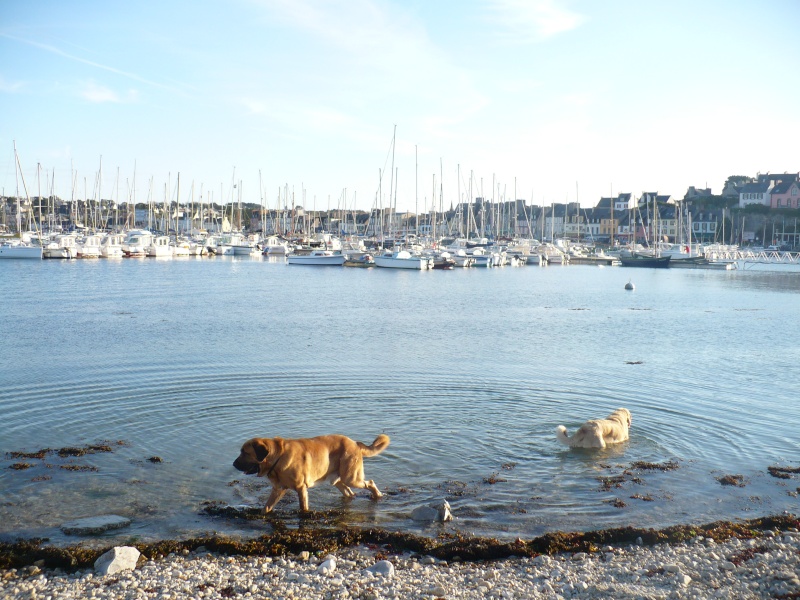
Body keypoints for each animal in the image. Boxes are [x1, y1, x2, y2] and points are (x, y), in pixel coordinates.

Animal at [233, 434, 390, 512]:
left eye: (245, 453)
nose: (233, 464)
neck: (278, 456)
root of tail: (355, 443)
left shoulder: (301, 488)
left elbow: (303, 508)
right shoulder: (278, 490)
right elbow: (266, 507)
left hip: (351, 477)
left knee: (370, 483)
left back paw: (378, 495)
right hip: (338, 480)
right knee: (349, 492)